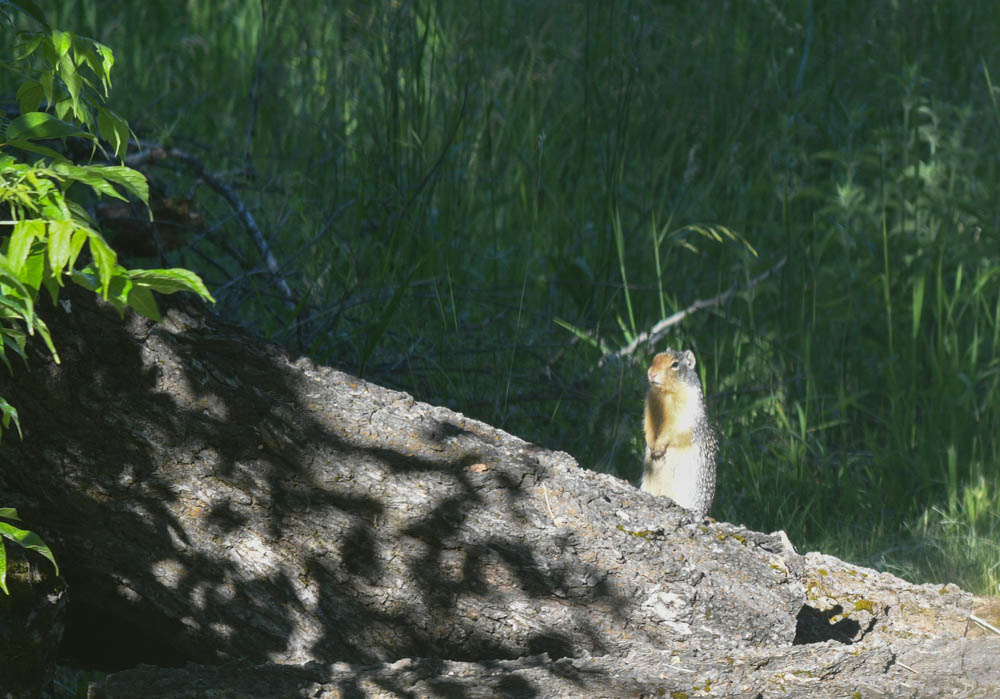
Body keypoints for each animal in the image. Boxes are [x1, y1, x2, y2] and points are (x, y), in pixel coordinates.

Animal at [641, 349, 718, 517]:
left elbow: (674, 430)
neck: (665, 394)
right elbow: (648, 426)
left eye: (675, 364)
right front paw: (651, 444)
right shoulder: (649, 405)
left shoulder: (686, 411)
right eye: (654, 358)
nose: (651, 373)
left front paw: (659, 447)